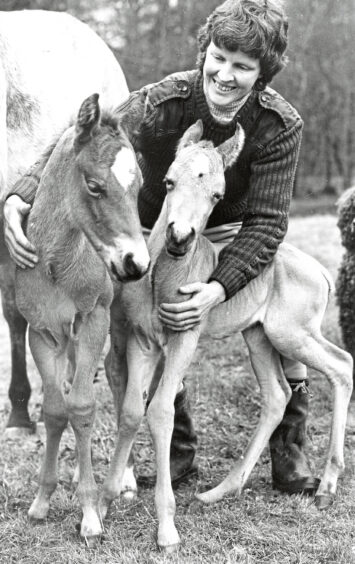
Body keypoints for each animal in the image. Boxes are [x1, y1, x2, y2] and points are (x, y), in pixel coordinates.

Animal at [97, 122, 354, 552]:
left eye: (217, 194)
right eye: (168, 181)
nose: (180, 237)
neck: (163, 275)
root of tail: (320, 271)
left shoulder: (185, 336)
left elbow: (161, 409)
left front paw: (166, 528)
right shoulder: (143, 342)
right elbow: (133, 409)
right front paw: (103, 502)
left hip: (292, 334)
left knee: (341, 365)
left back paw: (327, 485)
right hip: (258, 335)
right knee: (277, 394)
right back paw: (220, 491)